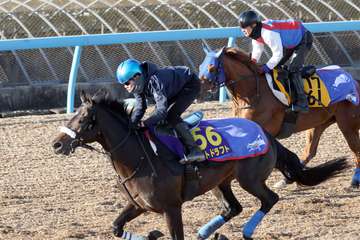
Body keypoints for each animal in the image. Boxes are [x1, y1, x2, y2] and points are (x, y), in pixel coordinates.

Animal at [52, 90, 346, 240]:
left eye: (83, 119)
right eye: (72, 115)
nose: (56, 144)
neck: (139, 156)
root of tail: (266, 135)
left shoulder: (171, 208)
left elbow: (175, 236)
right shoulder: (139, 205)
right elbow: (116, 227)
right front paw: (152, 234)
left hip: (249, 179)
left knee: (269, 199)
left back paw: (246, 232)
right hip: (220, 183)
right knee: (233, 207)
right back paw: (207, 232)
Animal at [198, 45, 360, 188]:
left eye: (212, 68)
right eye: (200, 66)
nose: (200, 89)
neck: (252, 93)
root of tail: (354, 81)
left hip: (347, 124)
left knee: (355, 148)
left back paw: (354, 181)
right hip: (320, 123)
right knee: (309, 151)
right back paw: (287, 179)